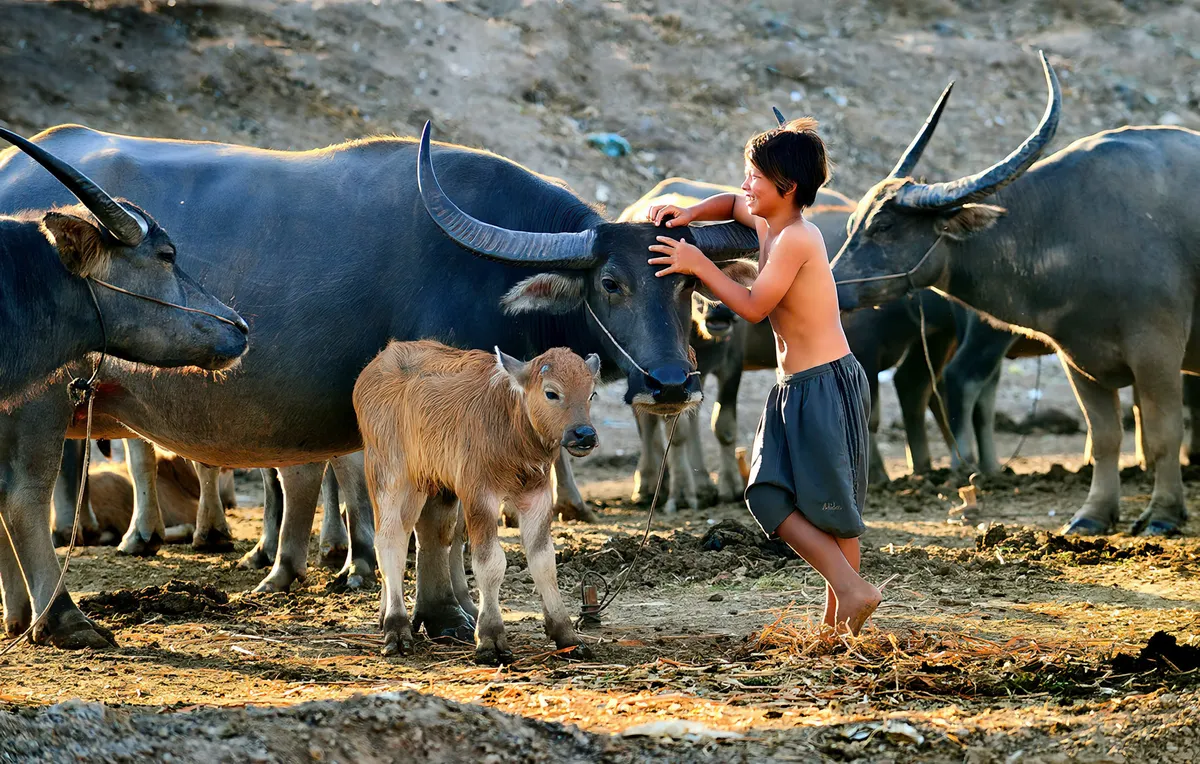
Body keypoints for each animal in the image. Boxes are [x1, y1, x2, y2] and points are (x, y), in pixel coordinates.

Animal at [352, 340, 600, 662]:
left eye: (591, 393)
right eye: (551, 392)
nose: (584, 434)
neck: (512, 431)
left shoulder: (537, 497)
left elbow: (544, 561)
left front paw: (566, 635)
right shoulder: (479, 496)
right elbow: (489, 563)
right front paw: (490, 638)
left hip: (425, 482)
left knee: (415, 535)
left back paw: (387, 617)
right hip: (390, 475)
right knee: (389, 540)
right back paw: (397, 628)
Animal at [835, 52, 1200, 537]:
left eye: (885, 225)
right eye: (854, 221)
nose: (831, 281)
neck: (1069, 227)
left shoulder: (1157, 352)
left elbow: (1163, 434)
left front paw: (1163, 514)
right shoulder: (1078, 359)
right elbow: (1106, 437)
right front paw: (1092, 515)